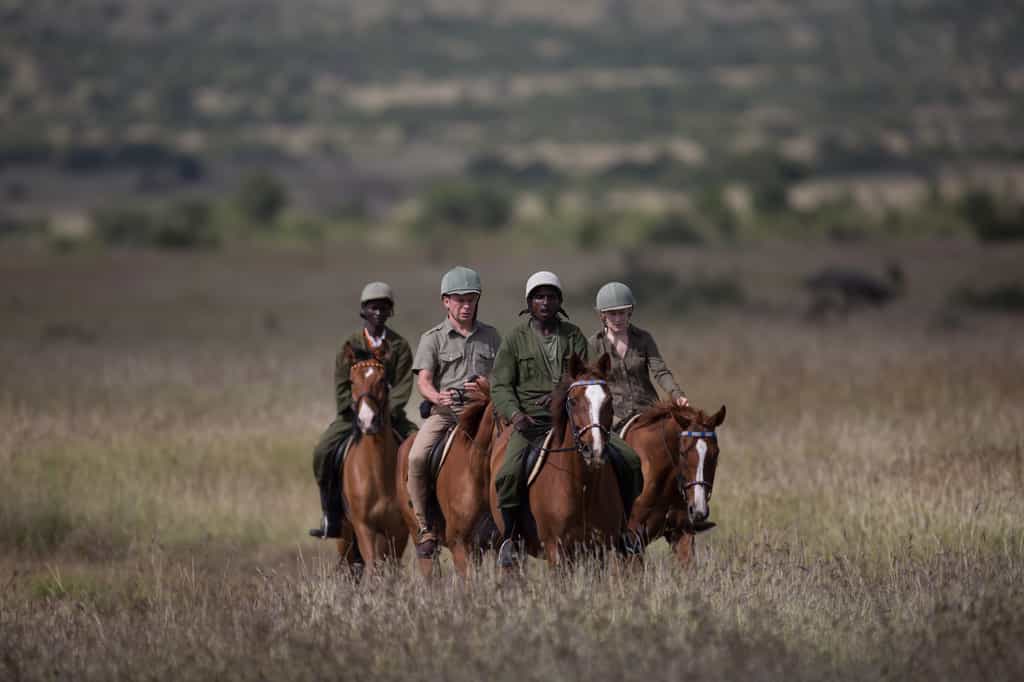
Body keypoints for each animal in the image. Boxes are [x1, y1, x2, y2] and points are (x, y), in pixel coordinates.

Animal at [333, 343, 409, 576]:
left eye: (382, 380)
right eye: (351, 382)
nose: (367, 421)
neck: (377, 471)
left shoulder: (398, 530)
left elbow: (392, 568)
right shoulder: (363, 527)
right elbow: (373, 566)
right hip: (345, 536)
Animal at [487, 352, 624, 568]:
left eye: (609, 401)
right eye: (573, 401)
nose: (594, 450)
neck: (581, 487)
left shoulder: (599, 549)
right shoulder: (556, 548)